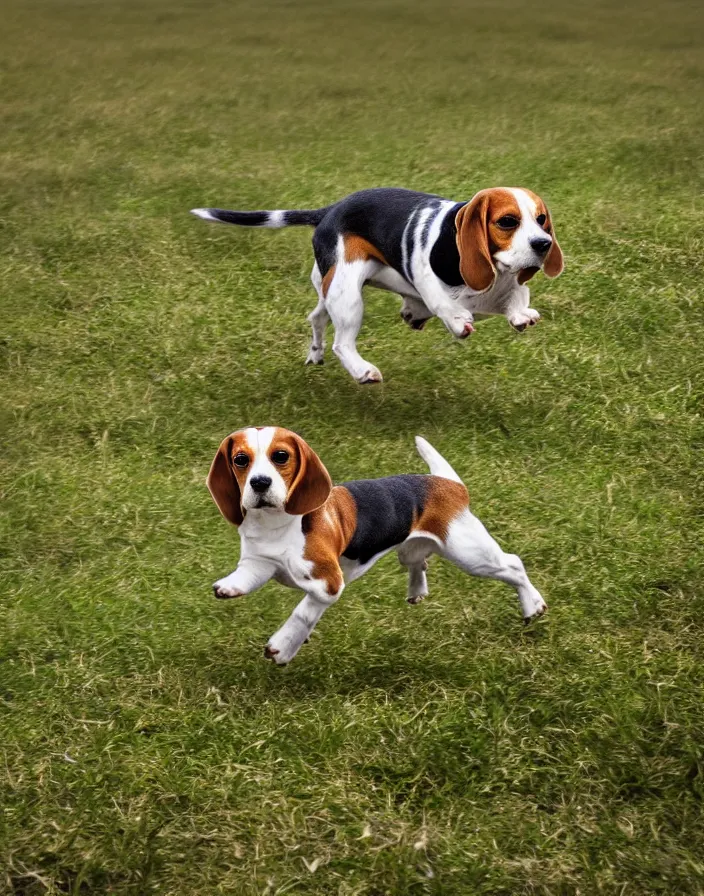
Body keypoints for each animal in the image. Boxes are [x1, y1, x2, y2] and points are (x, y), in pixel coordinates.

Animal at [190, 187, 564, 384]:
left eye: (541, 219)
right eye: (507, 221)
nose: (543, 244)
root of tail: (331, 209)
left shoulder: (503, 288)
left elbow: (518, 294)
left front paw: (520, 315)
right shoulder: (428, 277)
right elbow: (443, 302)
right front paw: (458, 321)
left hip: (330, 288)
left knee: (316, 317)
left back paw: (317, 353)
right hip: (348, 294)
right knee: (342, 343)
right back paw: (363, 370)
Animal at [206, 428, 548, 664]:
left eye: (281, 456)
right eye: (240, 460)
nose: (259, 483)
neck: (274, 525)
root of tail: (447, 483)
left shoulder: (327, 585)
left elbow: (302, 613)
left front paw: (283, 647)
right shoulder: (259, 562)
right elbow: (245, 577)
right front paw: (228, 588)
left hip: (470, 554)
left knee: (514, 564)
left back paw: (533, 606)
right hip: (412, 549)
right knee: (418, 562)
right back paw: (417, 591)